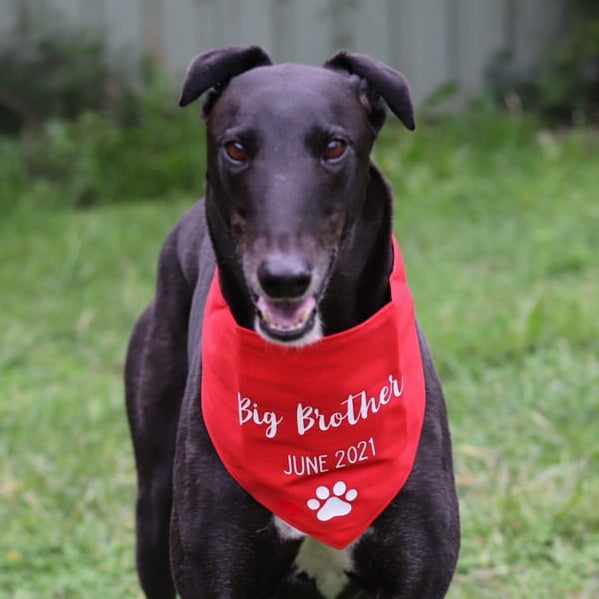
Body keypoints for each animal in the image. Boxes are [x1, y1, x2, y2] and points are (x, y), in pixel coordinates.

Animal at [126, 44, 462, 596]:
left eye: (334, 147)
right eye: (237, 148)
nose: (284, 279)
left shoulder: (416, 572)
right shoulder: (211, 570)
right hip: (152, 510)